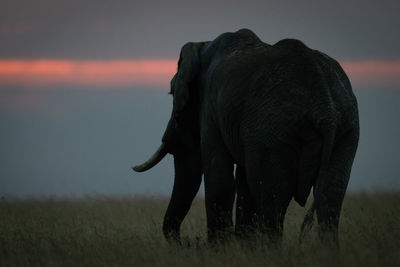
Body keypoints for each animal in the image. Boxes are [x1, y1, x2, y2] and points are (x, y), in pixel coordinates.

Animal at [132, 28, 360, 247]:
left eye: (172, 93)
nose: (190, 241)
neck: (203, 46)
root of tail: (324, 107)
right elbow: (242, 185)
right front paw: (243, 248)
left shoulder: (212, 110)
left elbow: (219, 179)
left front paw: (221, 250)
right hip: (345, 130)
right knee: (330, 199)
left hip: (274, 130)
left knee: (272, 201)